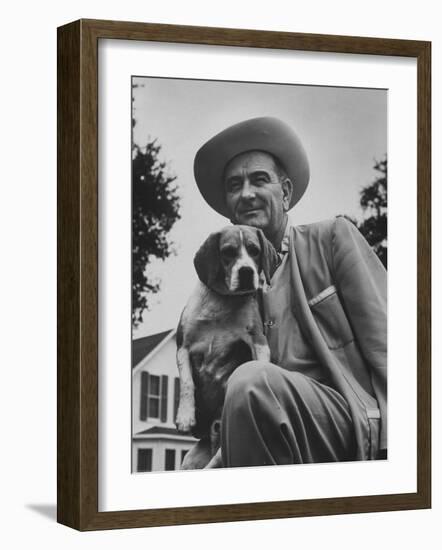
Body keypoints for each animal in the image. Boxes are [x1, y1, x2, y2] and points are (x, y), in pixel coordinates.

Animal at [175, 226, 276, 472]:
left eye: (254, 250)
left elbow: (259, 364)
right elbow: (187, 383)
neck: (223, 301)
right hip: (189, 460)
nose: (247, 271)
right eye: (228, 252)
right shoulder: (183, 345)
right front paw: (185, 417)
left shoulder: (258, 340)